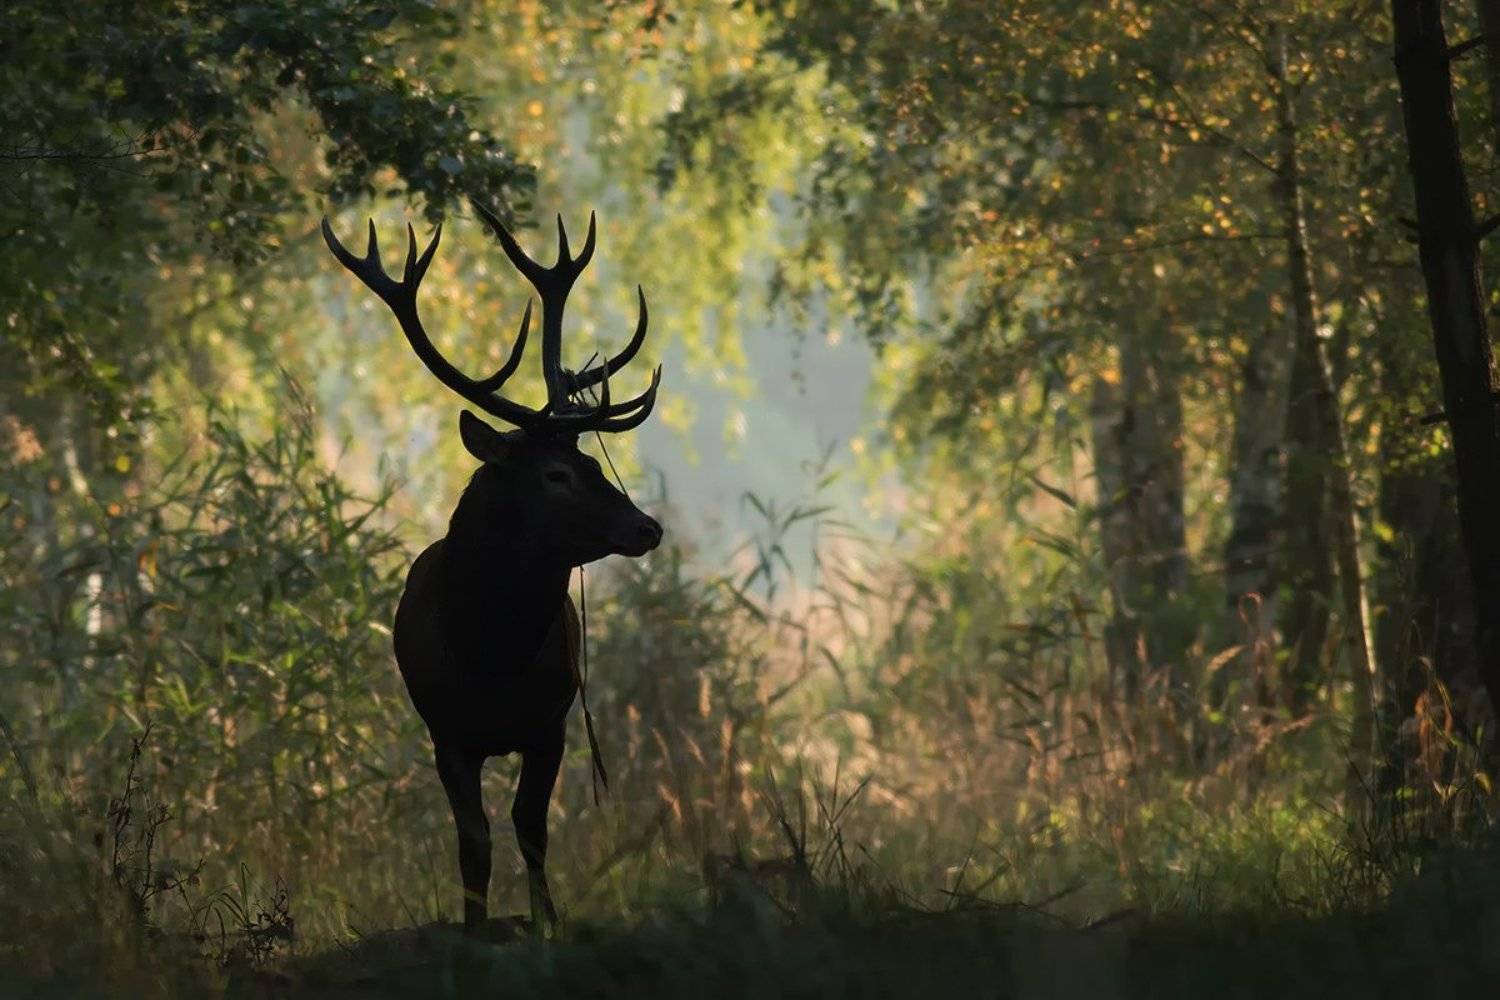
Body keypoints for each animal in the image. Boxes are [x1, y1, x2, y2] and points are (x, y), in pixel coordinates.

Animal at [321, 199, 663, 936]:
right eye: (557, 473)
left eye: (591, 461)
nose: (647, 527)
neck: (490, 655)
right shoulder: (446, 732)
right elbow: (473, 841)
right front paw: (474, 930)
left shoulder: (550, 724)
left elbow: (531, 828)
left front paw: (545, 925)